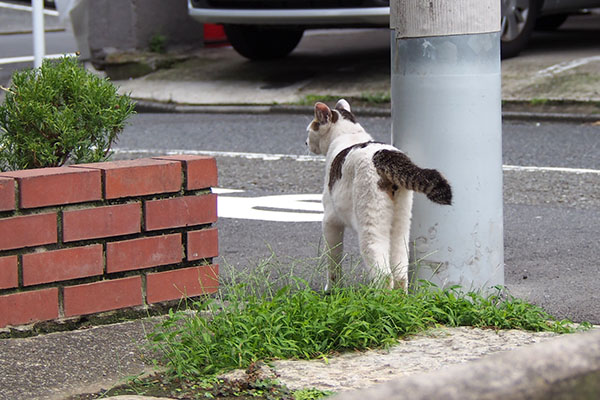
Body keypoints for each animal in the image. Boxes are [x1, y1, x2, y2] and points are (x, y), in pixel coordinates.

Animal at [304, 99, 450, 290]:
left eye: (310, 129)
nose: (305, 143)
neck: (349, 134)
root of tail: (387, 155)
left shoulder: (330, 219)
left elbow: (333, 261)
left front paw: (332, 289)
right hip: (401, 224)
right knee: (400, 273)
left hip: (371, 224)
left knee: (384, 274)